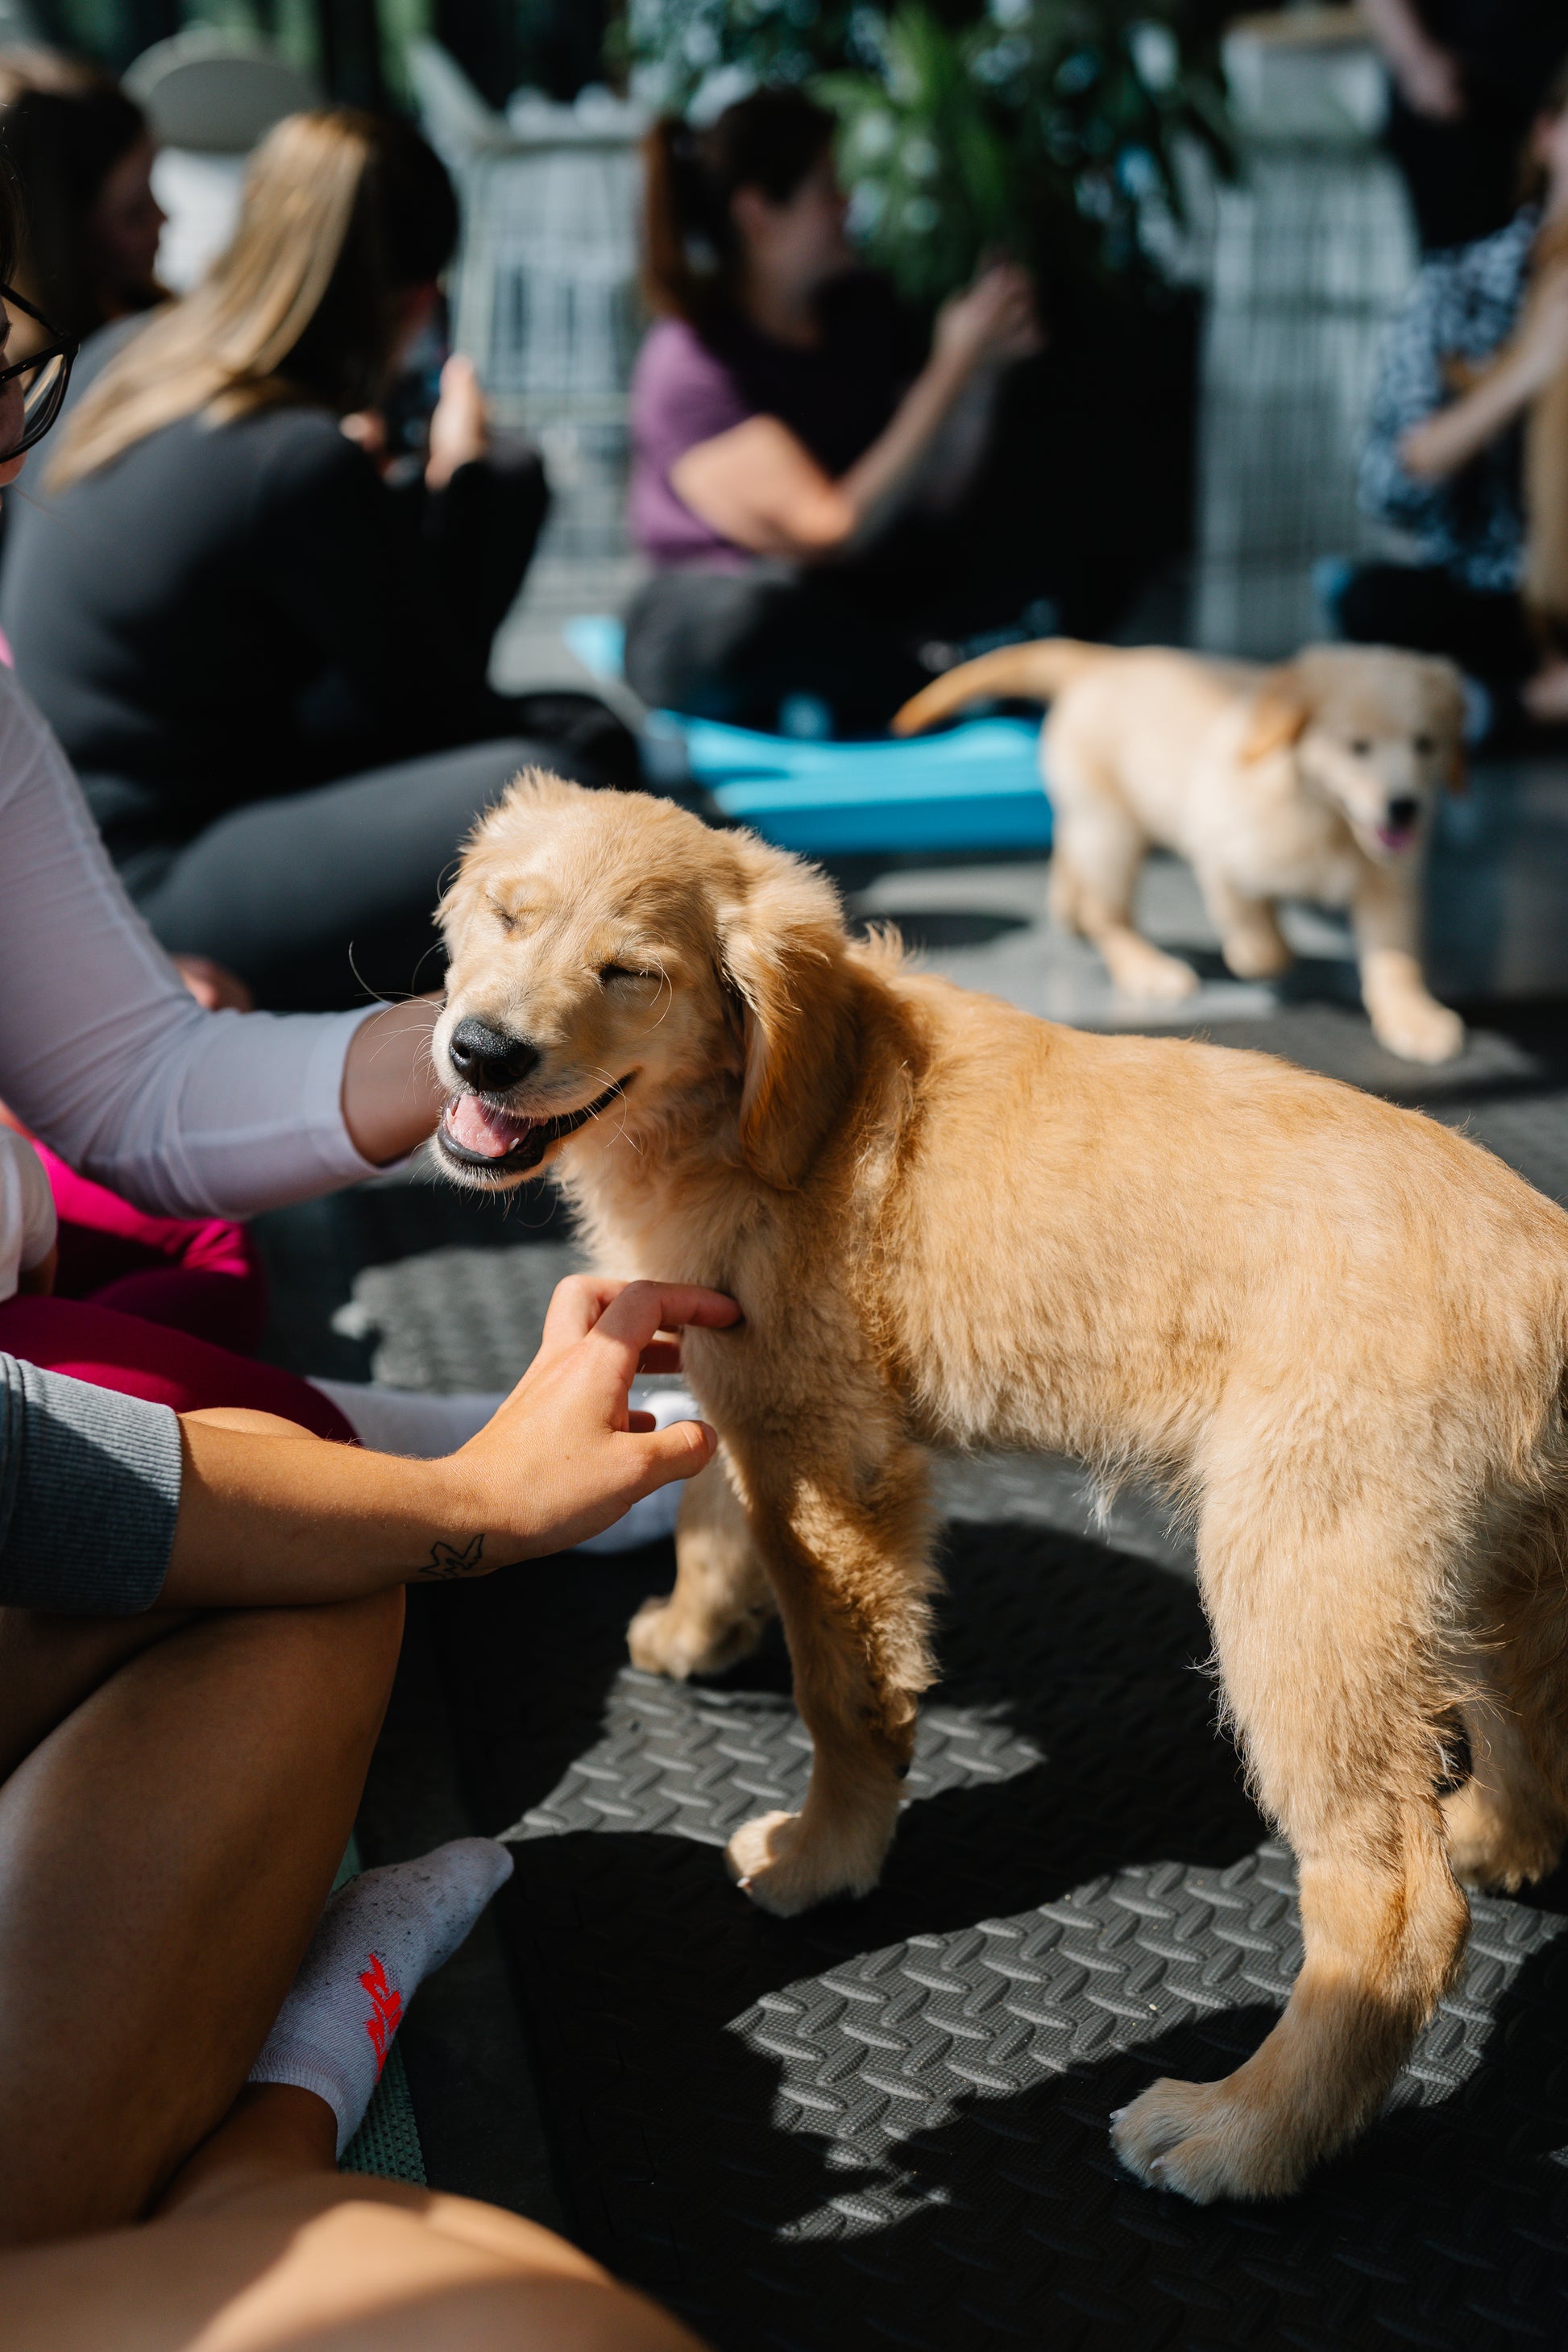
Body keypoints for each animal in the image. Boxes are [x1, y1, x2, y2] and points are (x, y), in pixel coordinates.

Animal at [432, 771, 1568, 2201]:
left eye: (630, 972)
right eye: (504, 917)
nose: (479, 1053)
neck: (768, 1103)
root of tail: (1548, 1261)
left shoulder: (826, 1446)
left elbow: (843, 1689)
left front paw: (822, 1857)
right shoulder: (744, 1375)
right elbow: (709, 1514)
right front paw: (694, 1625)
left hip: (1306, 1580)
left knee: (1396, 1906)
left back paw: (1241, 2131)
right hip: (1483, 1558)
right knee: (1528, 1709)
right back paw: (1496, 1830)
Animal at [893, 635, 1476, 1058]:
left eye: (1427, 744)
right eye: (1357, 746)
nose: (1404, 807)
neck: (1325, 815)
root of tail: (1103, 662)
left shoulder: (1389, 883)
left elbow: (1396, 958)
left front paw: (1413, 1017)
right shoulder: (1221, 847)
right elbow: (1253, 926)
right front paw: (1262, 954)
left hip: (1094, 819)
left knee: (1073, 862)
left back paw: (1071, 907)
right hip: (1114, 832)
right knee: (1110, 913)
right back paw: (1147, 967)